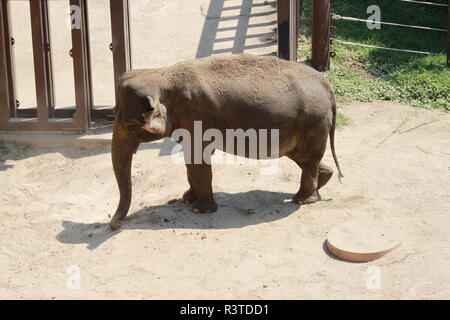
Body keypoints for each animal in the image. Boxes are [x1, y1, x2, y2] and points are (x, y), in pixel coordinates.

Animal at [110, 54, 342, 230]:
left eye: (130, 126)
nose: (114, 225)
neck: (162, 74)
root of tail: (327, 85)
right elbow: (191, 161)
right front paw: (187, 199)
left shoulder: (197, 117)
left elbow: (198, 159)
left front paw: (198, 209)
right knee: (304, 158)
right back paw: (321, 184)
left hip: (313, 122)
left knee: (307, 159)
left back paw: (303, 199)